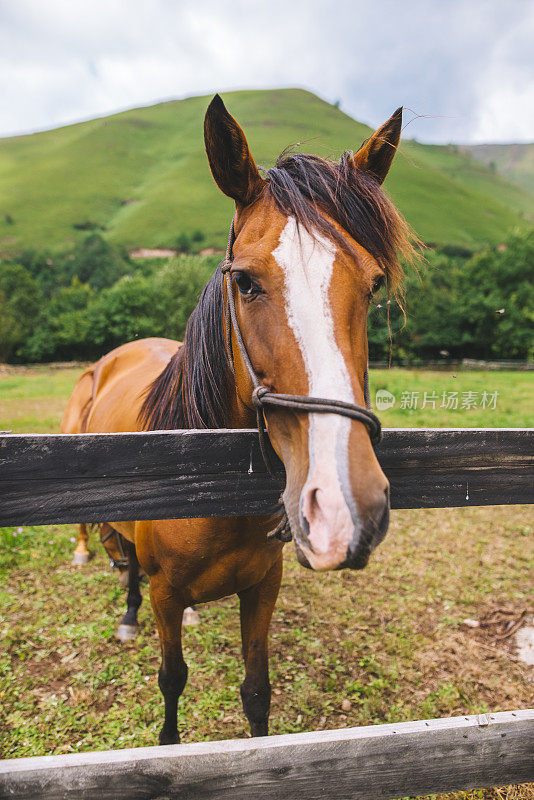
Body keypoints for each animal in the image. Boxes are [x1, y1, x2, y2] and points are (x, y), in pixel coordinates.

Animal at [61, 95, 414, 744]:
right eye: (245, 282)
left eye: (374, 284)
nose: (344, 505)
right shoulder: (166, 594)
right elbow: (172, 679)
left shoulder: (262, 588)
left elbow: (256, 691)